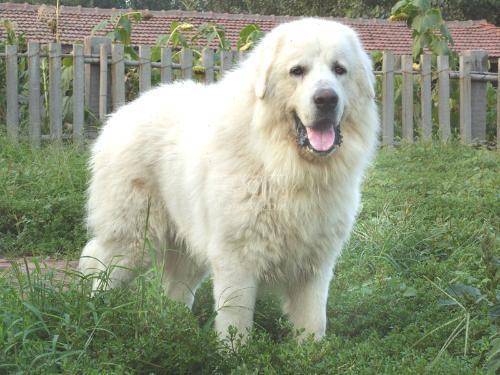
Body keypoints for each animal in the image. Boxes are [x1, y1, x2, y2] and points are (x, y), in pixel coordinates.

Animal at [78, 17, 376, 340]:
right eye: (297, 71)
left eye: (339, 70)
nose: (326, 99)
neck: (279, 164)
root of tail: (122, 112)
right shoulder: (236, 258)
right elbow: (236, 320)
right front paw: (235, 351)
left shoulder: (315, 264)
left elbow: (313, 322)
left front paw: (311, 351)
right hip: (134, 240)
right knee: (102, 272)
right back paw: (95, 319)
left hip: (187, 244)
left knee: (176, 290)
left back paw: (177, 329)